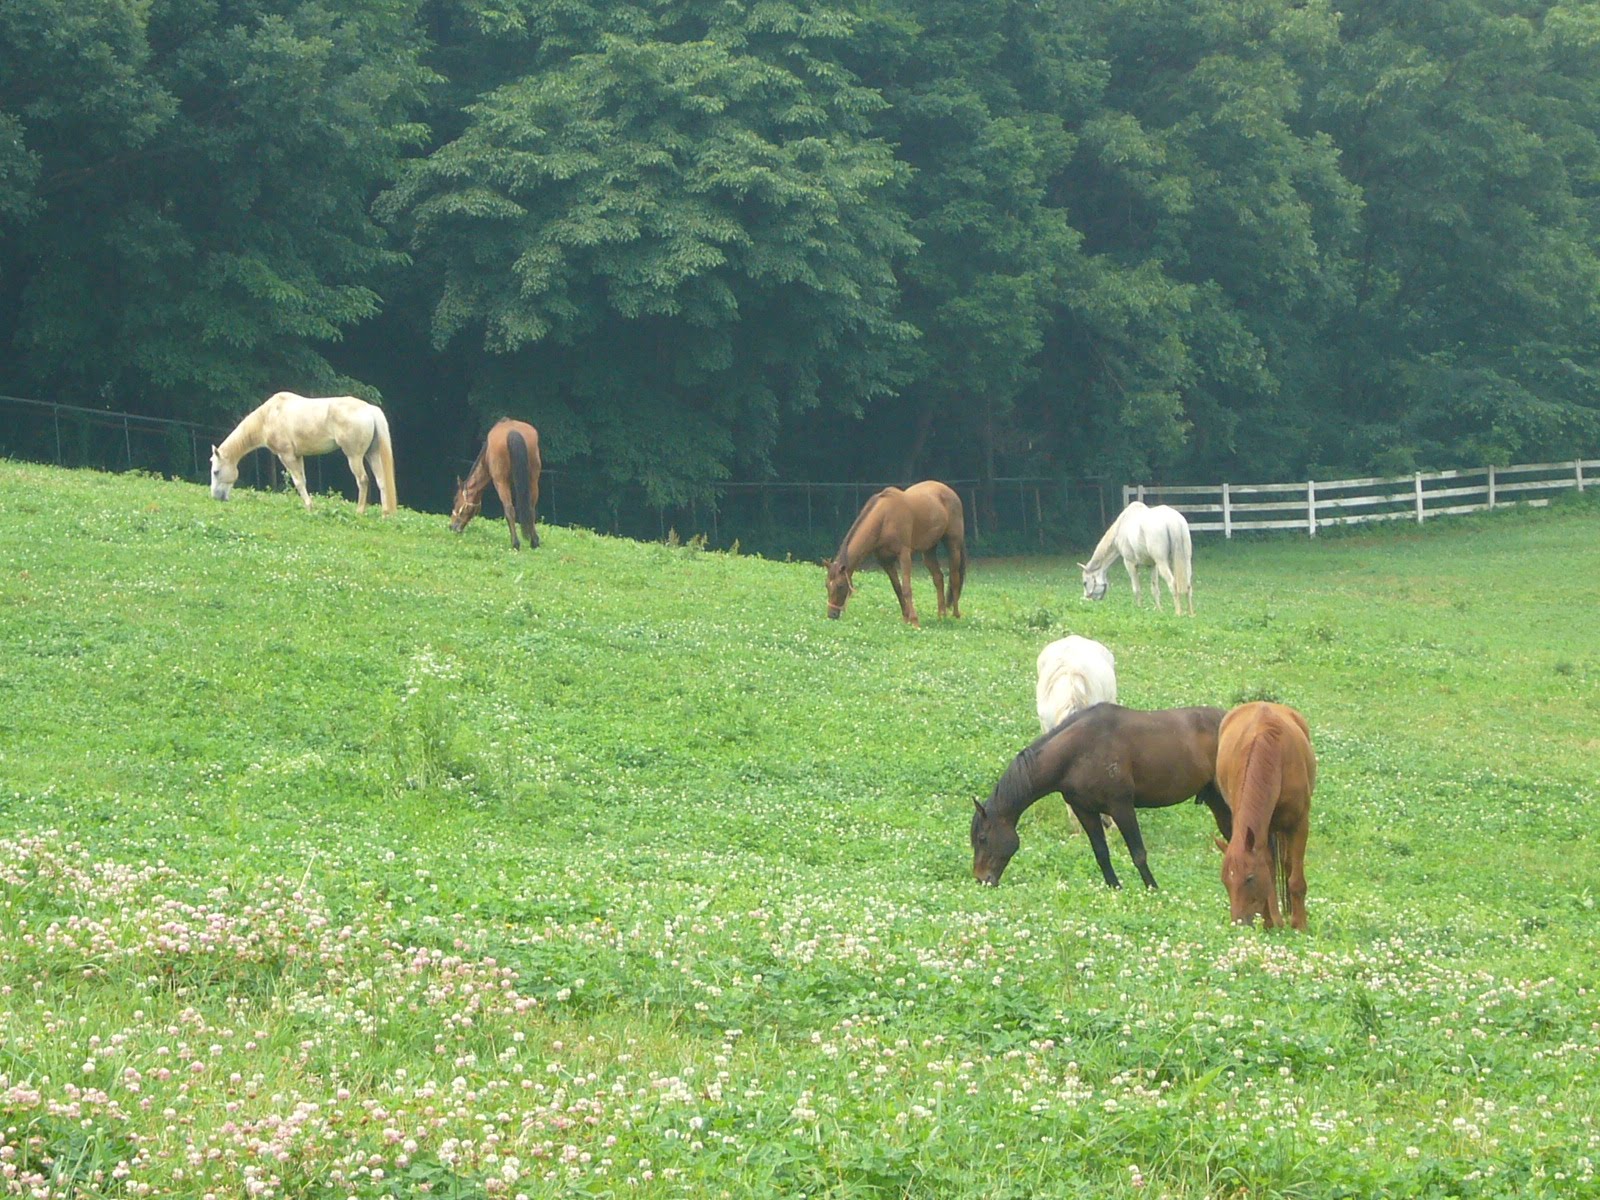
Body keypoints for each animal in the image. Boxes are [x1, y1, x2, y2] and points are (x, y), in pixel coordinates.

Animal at [210, 392, 397, 515]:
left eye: (216, 472)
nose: (215, 497)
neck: (268, 417)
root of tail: (369, 409)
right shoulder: (298, 456)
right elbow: (303, 481)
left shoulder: (287, 456)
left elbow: (298, 482)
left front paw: (309, 507)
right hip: (372, 455)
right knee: (381, 480)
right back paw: (385, 513)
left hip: (354, 457)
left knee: (363, 480)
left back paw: (359, 511)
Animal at [450, 419, 542, 550]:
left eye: (456, 499)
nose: (452, 527)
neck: (486, 455)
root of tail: (513, 432)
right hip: (533, 480)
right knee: (531, 509)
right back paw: (534, 542)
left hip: (501, 482)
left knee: (509, 509)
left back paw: (515, 543)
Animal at [825, 481, 965, 626]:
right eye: (826, 585)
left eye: (840, 586)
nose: (832, 614)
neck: (884, 518)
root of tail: (949, 491)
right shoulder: (885, 560)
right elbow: (897, 588)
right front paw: (906, 617)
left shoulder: (904, 555)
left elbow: (906, 588)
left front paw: (914, 620)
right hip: (928, 550)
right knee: (938, 578)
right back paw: (941, 615)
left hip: (953, 545)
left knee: (954, 578)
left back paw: (956, 615)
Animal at [970, 704, 1231, 889]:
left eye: (983, 838)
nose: (981, 879)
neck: (1077, 753)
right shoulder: (1084, 810)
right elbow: (1101, 853)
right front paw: (1115, 887)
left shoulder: (1120, 807)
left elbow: (1138, 854)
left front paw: (1153, 889)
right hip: (1217, 802)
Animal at [1213, 701, 1316, 930]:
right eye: (1225, 881)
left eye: (1249, 878)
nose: (1238, 924)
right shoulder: (1261, 830)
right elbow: (1269, 873)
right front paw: (1270, 921)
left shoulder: (1300, 824)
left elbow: (1295, 879)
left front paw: (1300, 925)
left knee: (1287, 865)